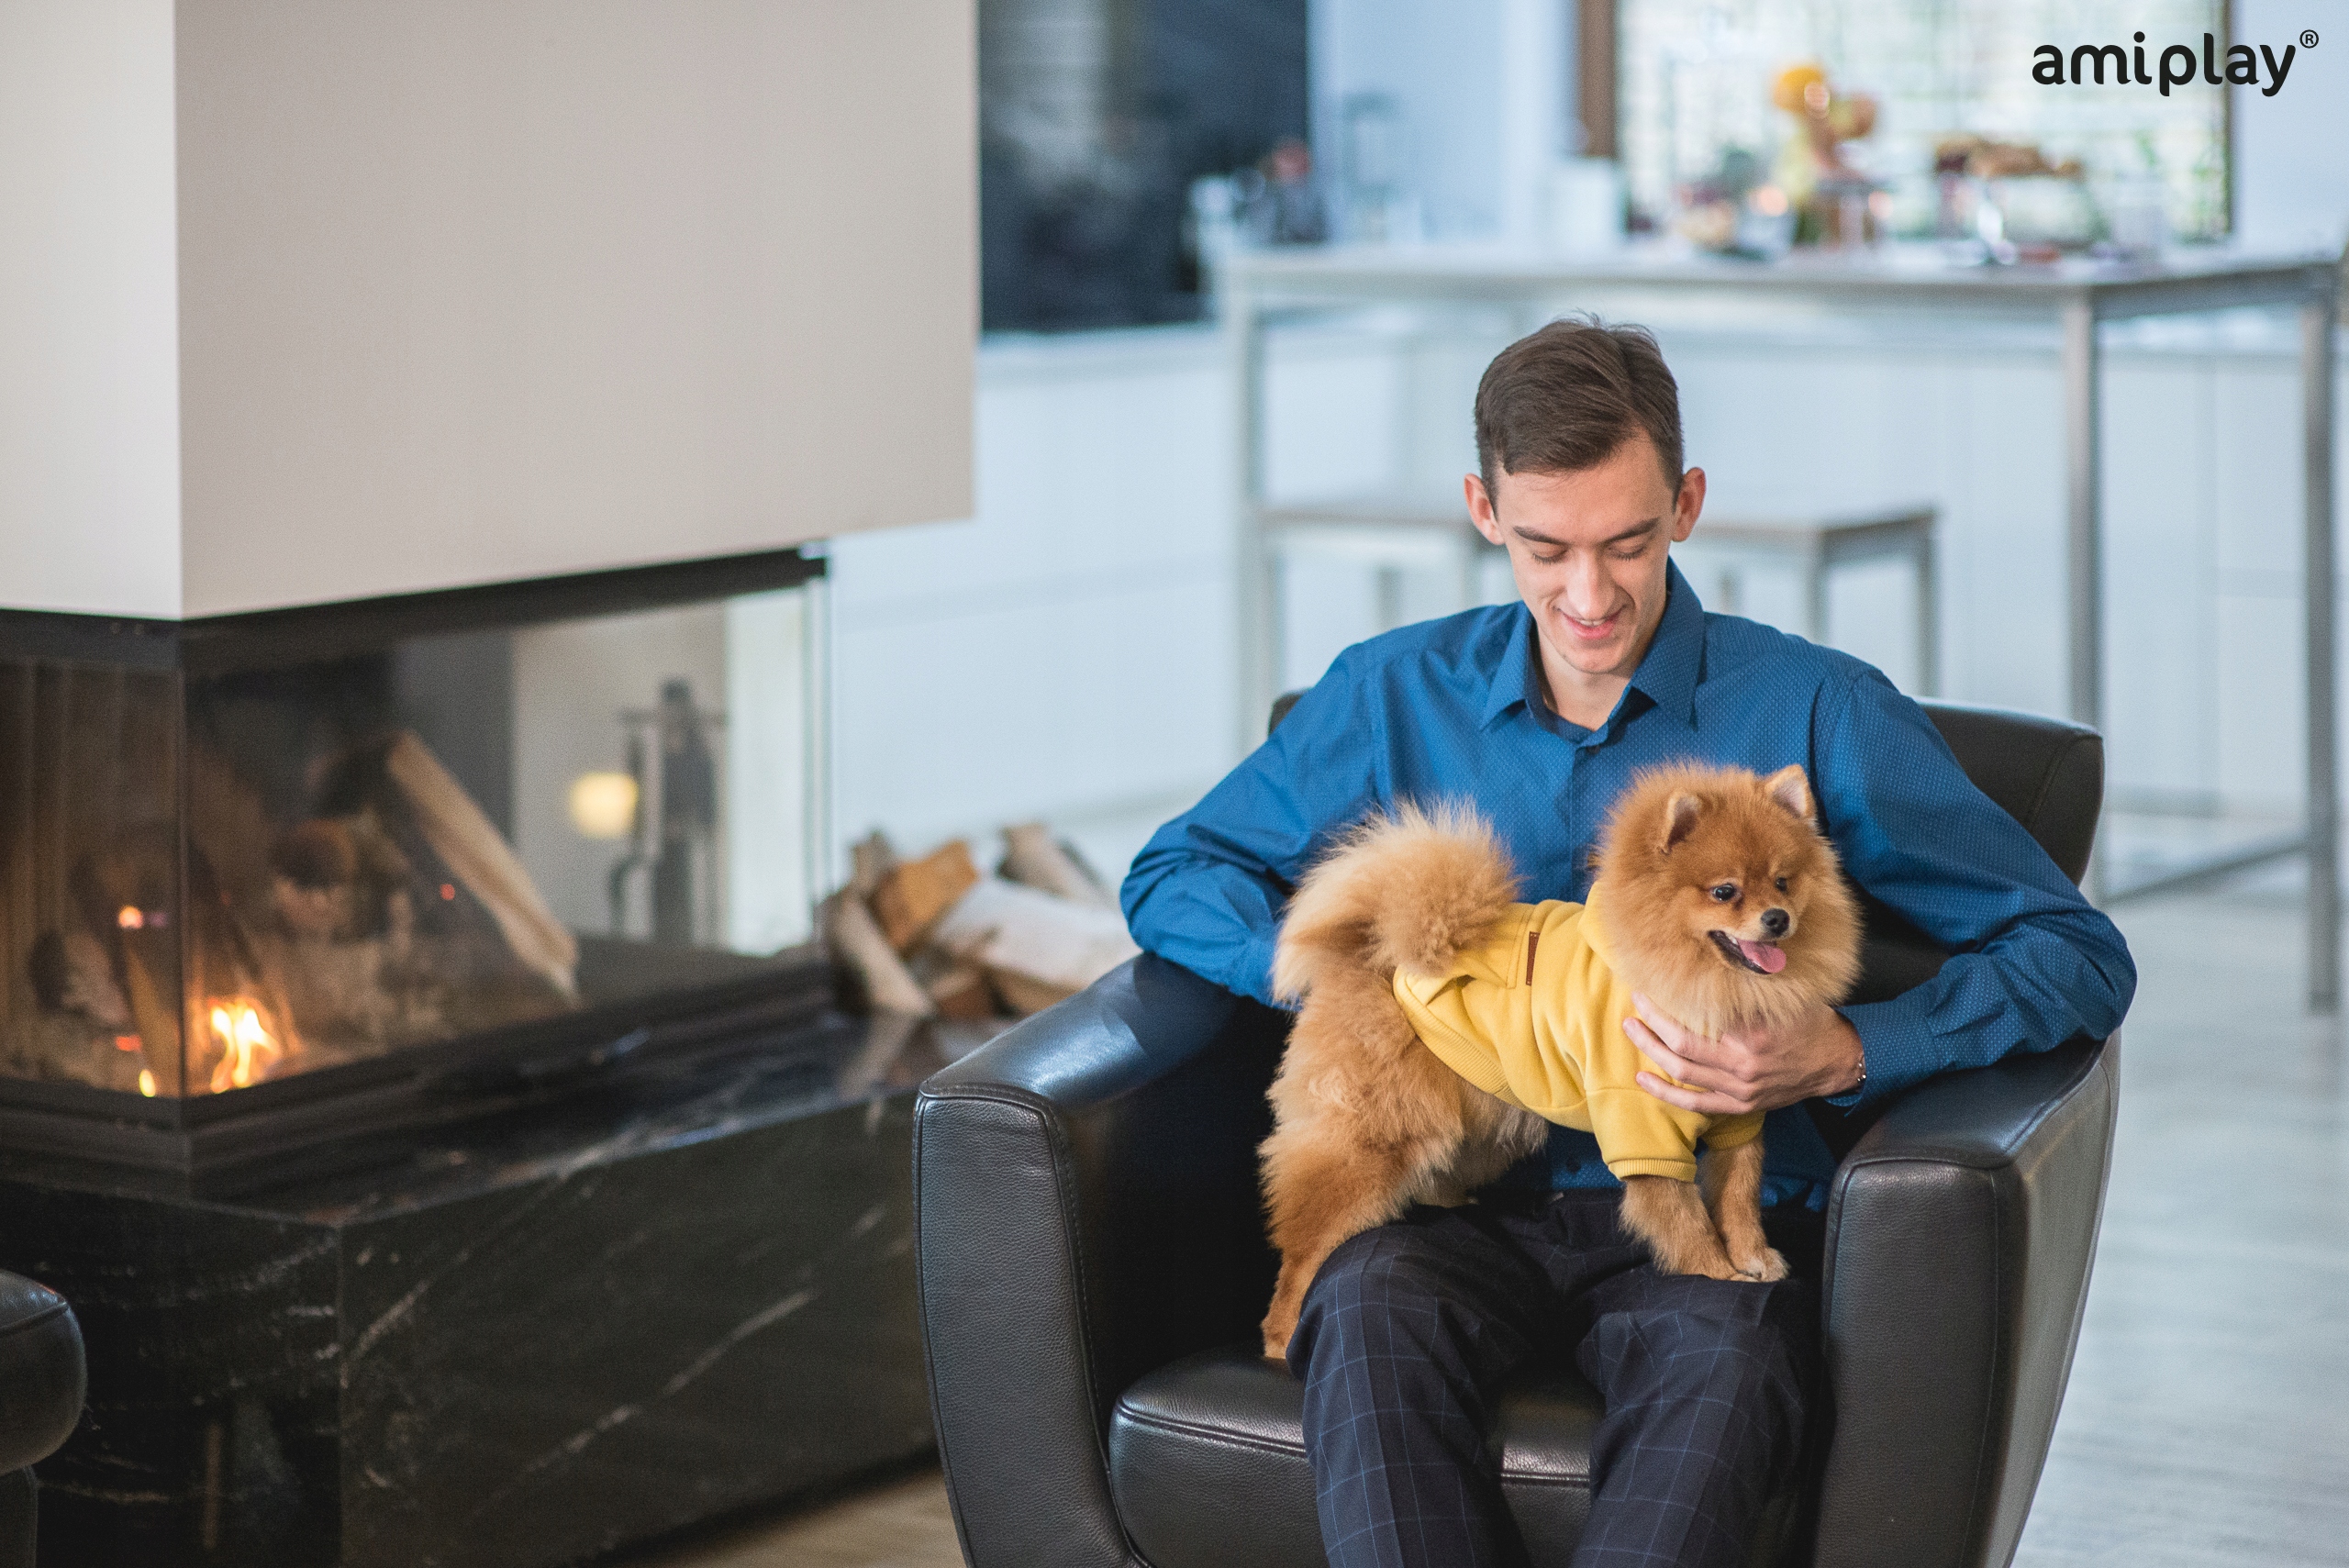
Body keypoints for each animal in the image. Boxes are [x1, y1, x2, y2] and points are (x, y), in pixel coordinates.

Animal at [1256, 763, 1861, 1361]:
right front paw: (1717, 1274)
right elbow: (1684, 1218)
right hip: (1374, 1137)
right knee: (1306, 1244)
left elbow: (1737, 1200)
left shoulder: (1740, 1119)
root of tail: (1375, 953)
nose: (1778, 918)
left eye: (1783, 882)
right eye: (1724, 891)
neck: (1706, 984)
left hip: (1477, 1123)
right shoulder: (1644, 1129)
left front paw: (1753, 1257)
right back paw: (1281, 1336)